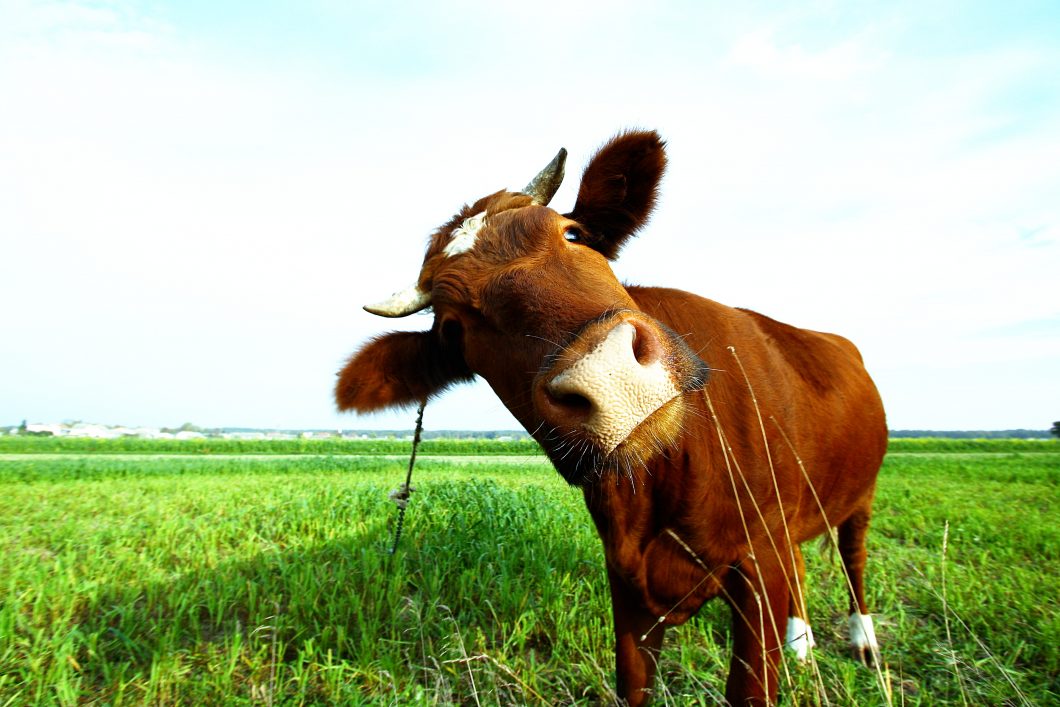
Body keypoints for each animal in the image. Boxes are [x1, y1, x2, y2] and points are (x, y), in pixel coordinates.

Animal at [337, 129, 886, 703]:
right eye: (451, 330)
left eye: (574, 233)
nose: (608, 374)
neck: (664, 477)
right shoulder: (626, 577)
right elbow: (634, 683)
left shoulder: (759, 560)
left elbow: (750, 687)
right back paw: (801, 642)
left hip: (861, 494)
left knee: (854, 559)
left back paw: (863, 641)